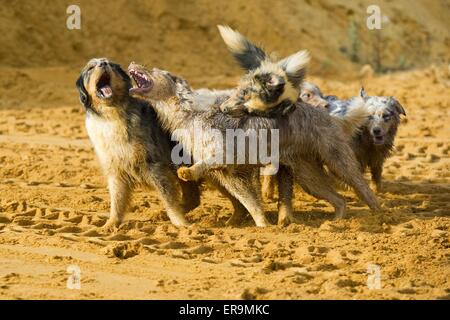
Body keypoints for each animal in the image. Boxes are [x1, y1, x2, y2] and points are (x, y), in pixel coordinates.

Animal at [74, 56, 200, 229]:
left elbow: (168, 198)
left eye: (110, 64)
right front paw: (110, 225)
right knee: (193, 197)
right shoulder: (116, 170)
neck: (112, 115)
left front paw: (180, 223)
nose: (103, 64)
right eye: (91, 68)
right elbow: (117, 202)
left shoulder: (154, 165)